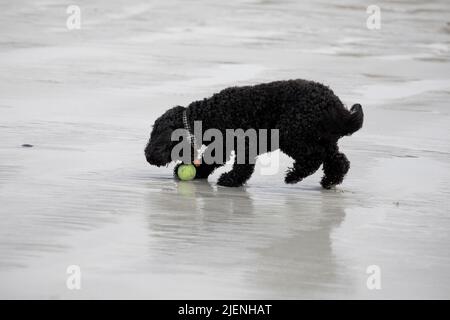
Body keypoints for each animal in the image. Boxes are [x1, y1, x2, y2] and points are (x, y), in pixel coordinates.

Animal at [146, 79, 364, 188]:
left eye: (155, 135)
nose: (147, 155)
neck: (205, 115)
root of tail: (335, 104)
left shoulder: (241, 144)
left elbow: (240, 167)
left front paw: (229, 181)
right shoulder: (223, 146)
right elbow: (211, 160)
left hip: (291, 135)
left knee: (313, 158)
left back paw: (293, 176)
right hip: (324, 139)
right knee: (339, 161)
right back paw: (330, 180)